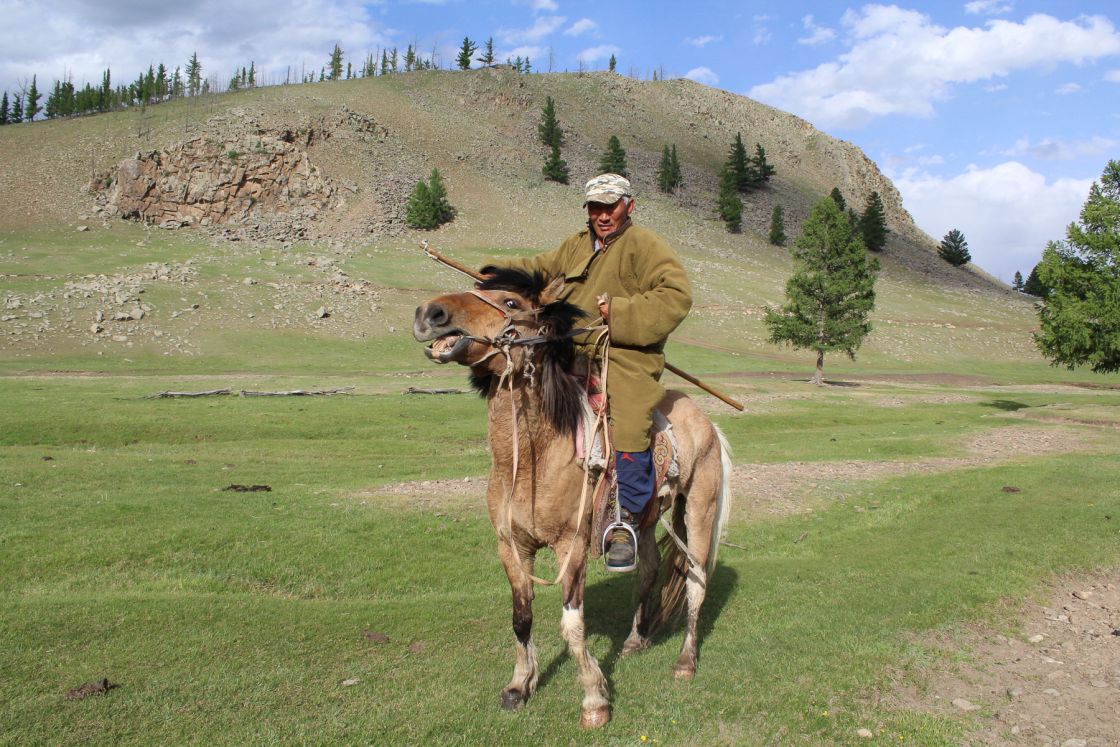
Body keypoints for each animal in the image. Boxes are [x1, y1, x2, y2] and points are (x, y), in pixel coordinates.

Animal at [412, 266, 731, 729]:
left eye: (511, 302)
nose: (429, 314)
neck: (532, 459)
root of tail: (704, 419)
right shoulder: (511, 546)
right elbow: (521, 618)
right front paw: (518, 686)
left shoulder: (572, 546)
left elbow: (573, 626)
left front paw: (595, 700)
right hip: (646, 519)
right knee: (648, 570)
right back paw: (635, 640)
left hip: (700, 511)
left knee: (695, 581)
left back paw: (685, 662)